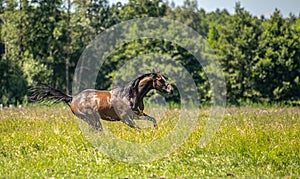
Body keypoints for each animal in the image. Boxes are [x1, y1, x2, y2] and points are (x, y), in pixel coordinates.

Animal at [28, 72, 173, 131]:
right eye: (160, 80)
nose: (171, 89)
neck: (130, 95)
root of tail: (73, 98)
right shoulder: (126, 118)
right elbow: (138, 129)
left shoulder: (138, 115)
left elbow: (152, 119)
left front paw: (155, 130)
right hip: (92, 119)